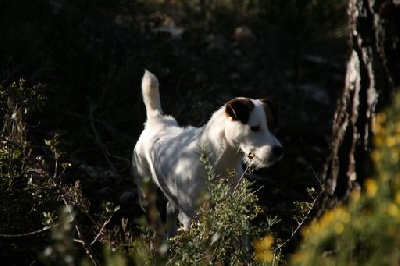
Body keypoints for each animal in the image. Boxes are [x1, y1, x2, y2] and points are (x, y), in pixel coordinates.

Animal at [133, 69, 282, 238]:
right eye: (255, 128)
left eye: (272, 126)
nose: (279, 151)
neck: (217, 161)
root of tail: (156, 121)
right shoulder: (191, 218)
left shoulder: (231, 208)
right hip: (145, 193)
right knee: (155, 216)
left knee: (170, 207)